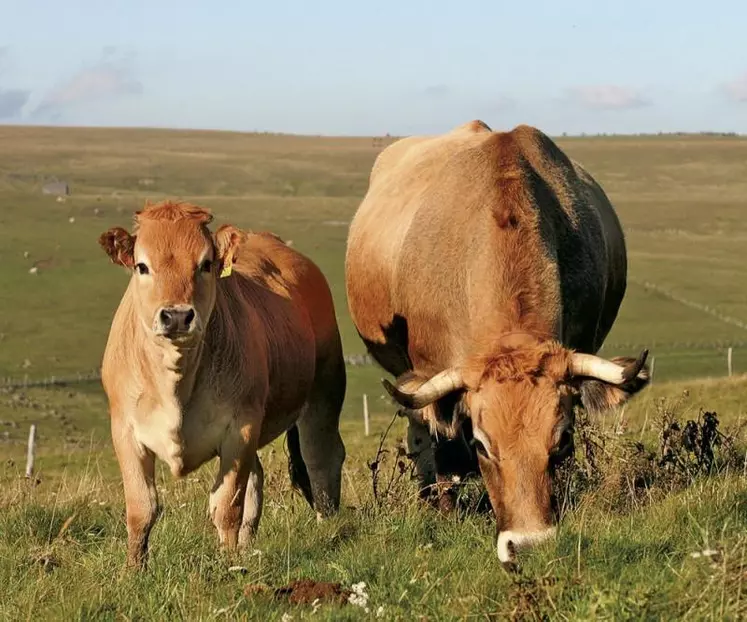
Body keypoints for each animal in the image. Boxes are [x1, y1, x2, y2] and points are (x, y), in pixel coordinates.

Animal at [97, 201, 350, 572]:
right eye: (142, 266)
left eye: (205, 264)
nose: (176, 316)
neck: (177, 381)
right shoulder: (125, 430)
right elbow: (141, 509)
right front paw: (134, 570)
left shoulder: (239, 429)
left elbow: (227, 506)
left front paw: (228, 565)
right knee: (258, 478)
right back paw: (247, 545)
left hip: (324, 391)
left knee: (320, 459)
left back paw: (327, 530)